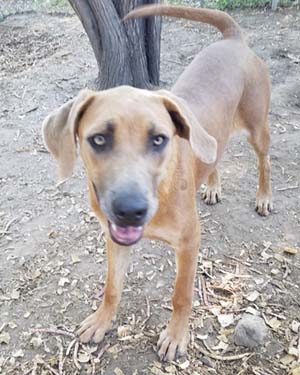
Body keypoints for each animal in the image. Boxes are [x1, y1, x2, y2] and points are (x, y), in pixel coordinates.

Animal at [42, 5, 274, 362]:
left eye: (159, 139)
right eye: (98, 139)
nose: (130, 210)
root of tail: (234, 40)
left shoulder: (189, 242)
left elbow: (181, 295)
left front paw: (176, 336)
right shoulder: (115, 239)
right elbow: (112, 287)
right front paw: (102, 320)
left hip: (257, 127)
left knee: (265, 160)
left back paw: (264, 197)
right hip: (216, 137)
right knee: (215, 154)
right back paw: (212, 186)